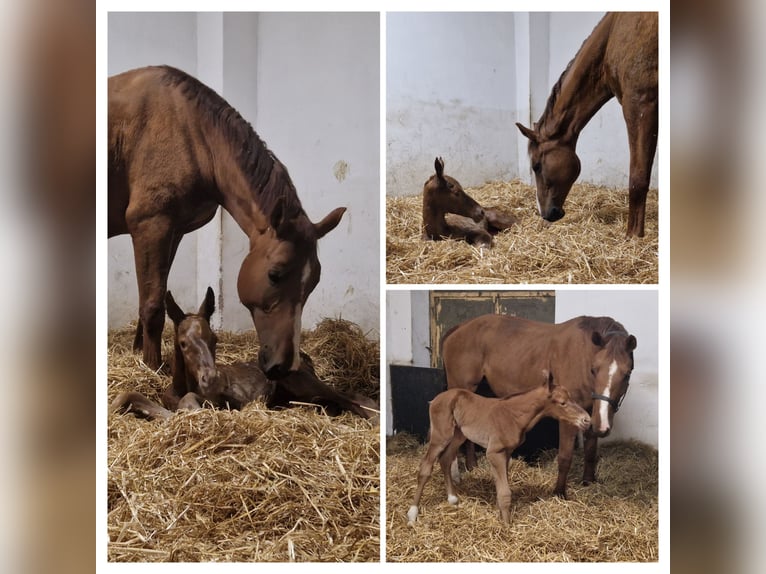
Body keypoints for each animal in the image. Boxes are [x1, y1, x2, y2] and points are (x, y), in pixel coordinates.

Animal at [108, 65, 345, 375]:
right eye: (275, 275)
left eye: (314, 281)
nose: (285, 365)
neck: (191, 131)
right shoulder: (151, 225)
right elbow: (152, 306)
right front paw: (152, 369)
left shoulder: (173, 231)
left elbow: (152, 293)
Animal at [110, 287, 378, 421]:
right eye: (184, 343)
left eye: (215, 339)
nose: (212, 379)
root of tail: (304, 360)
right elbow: (132, 395)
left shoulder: (232, 402)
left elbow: (191, 403)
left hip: (304, 384)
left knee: (354, 399)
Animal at [407, 372, 590, 525]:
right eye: (562, 403)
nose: (586, 420)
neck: (514, 416)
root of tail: (436, 399)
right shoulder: (494, 453)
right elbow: (505, 492)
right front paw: (507, 527)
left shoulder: (506, 452)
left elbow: (501, 486)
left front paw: (501, 517)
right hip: (441, 436)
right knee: (425, 467)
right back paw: (412, 514)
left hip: (458, 435)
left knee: (445, 459)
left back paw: (452, 500)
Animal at [442, 314, 636, 498]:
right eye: (594, 370)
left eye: (627, 374)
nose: (602, 427)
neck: (583, 354)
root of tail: (458, 328)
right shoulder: (568, 418)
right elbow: (565, 456)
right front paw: (559, 493)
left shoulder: (590, 413)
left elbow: (590, 451)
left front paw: (588, 481)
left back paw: (472, 465)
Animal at [516, 12, 658, 237]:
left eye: (536, 166)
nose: (546, 214)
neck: (612, 34)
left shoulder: (640, 103)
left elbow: (638, 177)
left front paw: (634, 236)